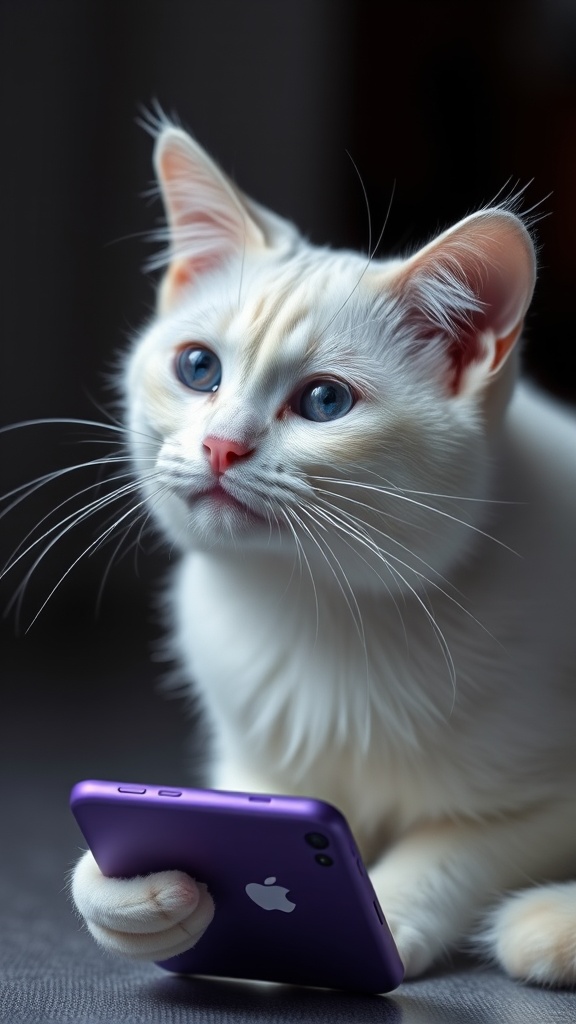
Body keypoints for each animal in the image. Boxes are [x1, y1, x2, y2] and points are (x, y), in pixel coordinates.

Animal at [69, 123, 569, 987]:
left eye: (326, 402)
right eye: (197, 367)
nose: (221, 445)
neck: (316, 606)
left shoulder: (550, 802)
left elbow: (459, 843)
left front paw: (378, 913)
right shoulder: (249, 757)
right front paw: (143, 894)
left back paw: (545, 928)